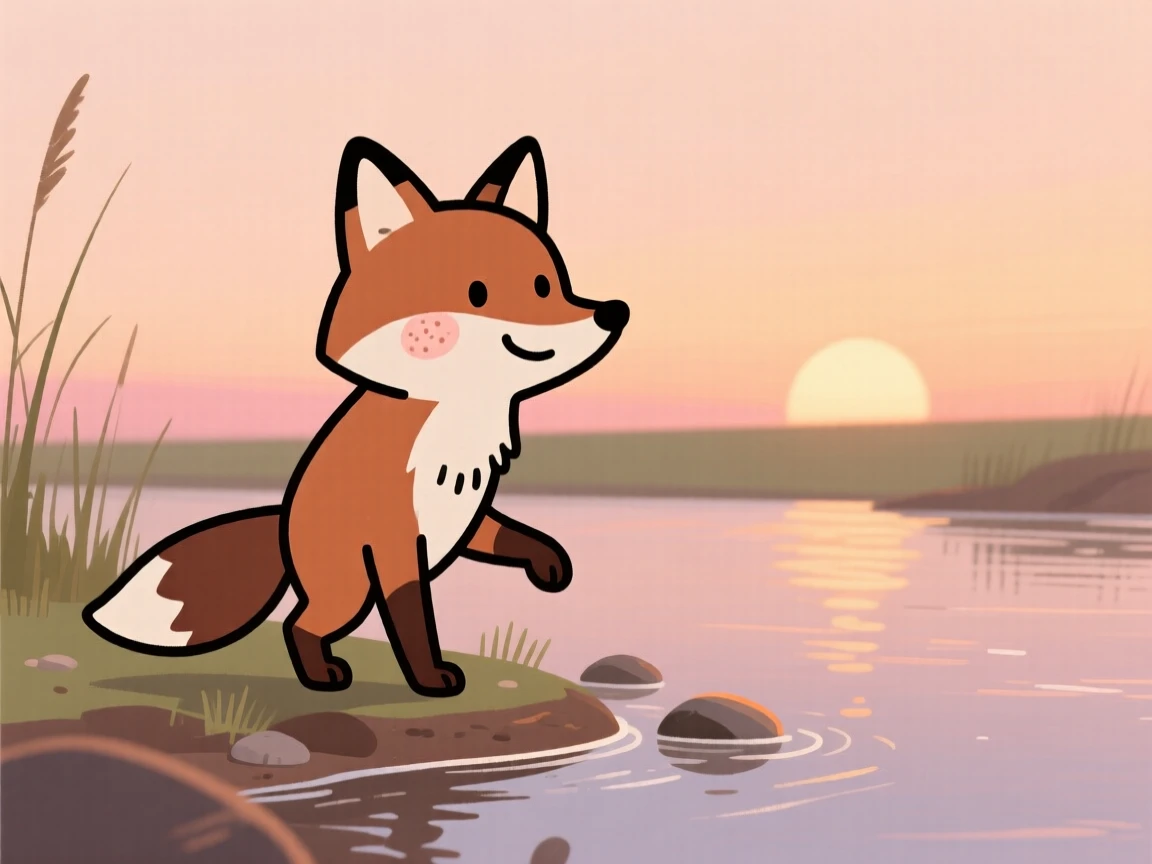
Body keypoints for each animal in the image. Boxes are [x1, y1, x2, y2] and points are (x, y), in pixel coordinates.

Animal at [82, 134, 629, 698]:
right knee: (299, 623)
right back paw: (322, 675)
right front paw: (431, 679)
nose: (612, 312)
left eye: (547, 283)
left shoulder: (466, 517)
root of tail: (282, 520)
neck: (453, 418)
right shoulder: (396, 546)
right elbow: (413, 621)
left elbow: (514, 535)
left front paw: (549, 563)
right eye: (478, 292)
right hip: (349, 593)